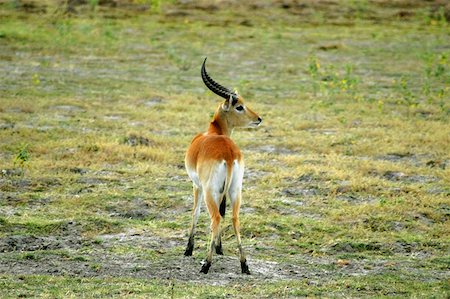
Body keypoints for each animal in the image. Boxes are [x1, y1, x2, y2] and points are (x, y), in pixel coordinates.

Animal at [184, 57, 262, 276]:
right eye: (239, 106)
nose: (258, 119)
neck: (214, 132)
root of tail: (228, 152)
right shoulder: (221, 191)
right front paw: (220, 248)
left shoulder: (197, 185)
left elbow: (195, 213)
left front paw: (189, 249)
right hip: (236, 189)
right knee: (234, 218)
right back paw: (244, 265)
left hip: (209, 190)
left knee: (216, 218)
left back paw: (206, 265)